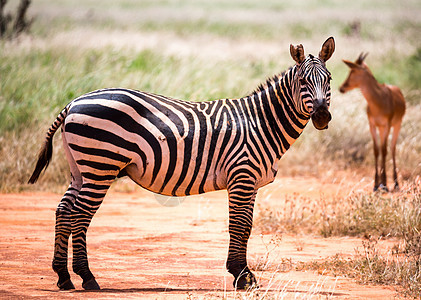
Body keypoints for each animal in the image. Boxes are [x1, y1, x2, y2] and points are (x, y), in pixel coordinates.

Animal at [27, 36, 334, 290]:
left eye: (329, 80)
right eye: (303, 82)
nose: (322, 117)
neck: (260, 122)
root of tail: (74, 102)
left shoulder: (252, 183)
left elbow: (246, 226)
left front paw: (242, 274)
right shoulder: (242, 177)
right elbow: (239, 225)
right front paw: (242, 276)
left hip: (80, 169)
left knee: (63, 210)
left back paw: (63, 277)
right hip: (100, 166)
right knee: (79, 214)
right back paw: (87, 277)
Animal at [340, 52, 406, 191]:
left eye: (353, 70)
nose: (342, 88)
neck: (379, 99)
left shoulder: (387, 125)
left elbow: (384, 150)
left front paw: (385, 184)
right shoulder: (372, 125)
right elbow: (376, 150)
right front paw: (376, 184)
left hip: (396, 125)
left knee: (392, 148)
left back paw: (395, 183)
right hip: (381, 128)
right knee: (382, 148)